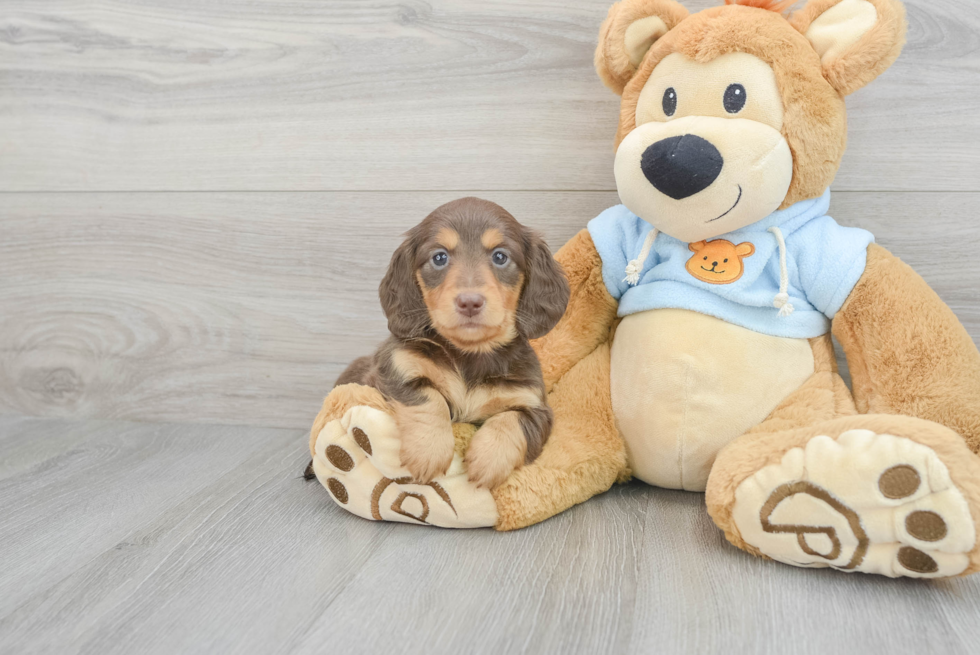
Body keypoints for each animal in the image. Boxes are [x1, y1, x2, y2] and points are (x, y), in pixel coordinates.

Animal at [304, 197, 568, 490]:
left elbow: (511, 420)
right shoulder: (395, 369)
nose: (469, 302)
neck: (468, 355)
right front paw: (428, 450)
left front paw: (489, 459)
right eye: (439, 257)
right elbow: (430, 398)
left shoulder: (536, 407)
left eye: (500, 256)